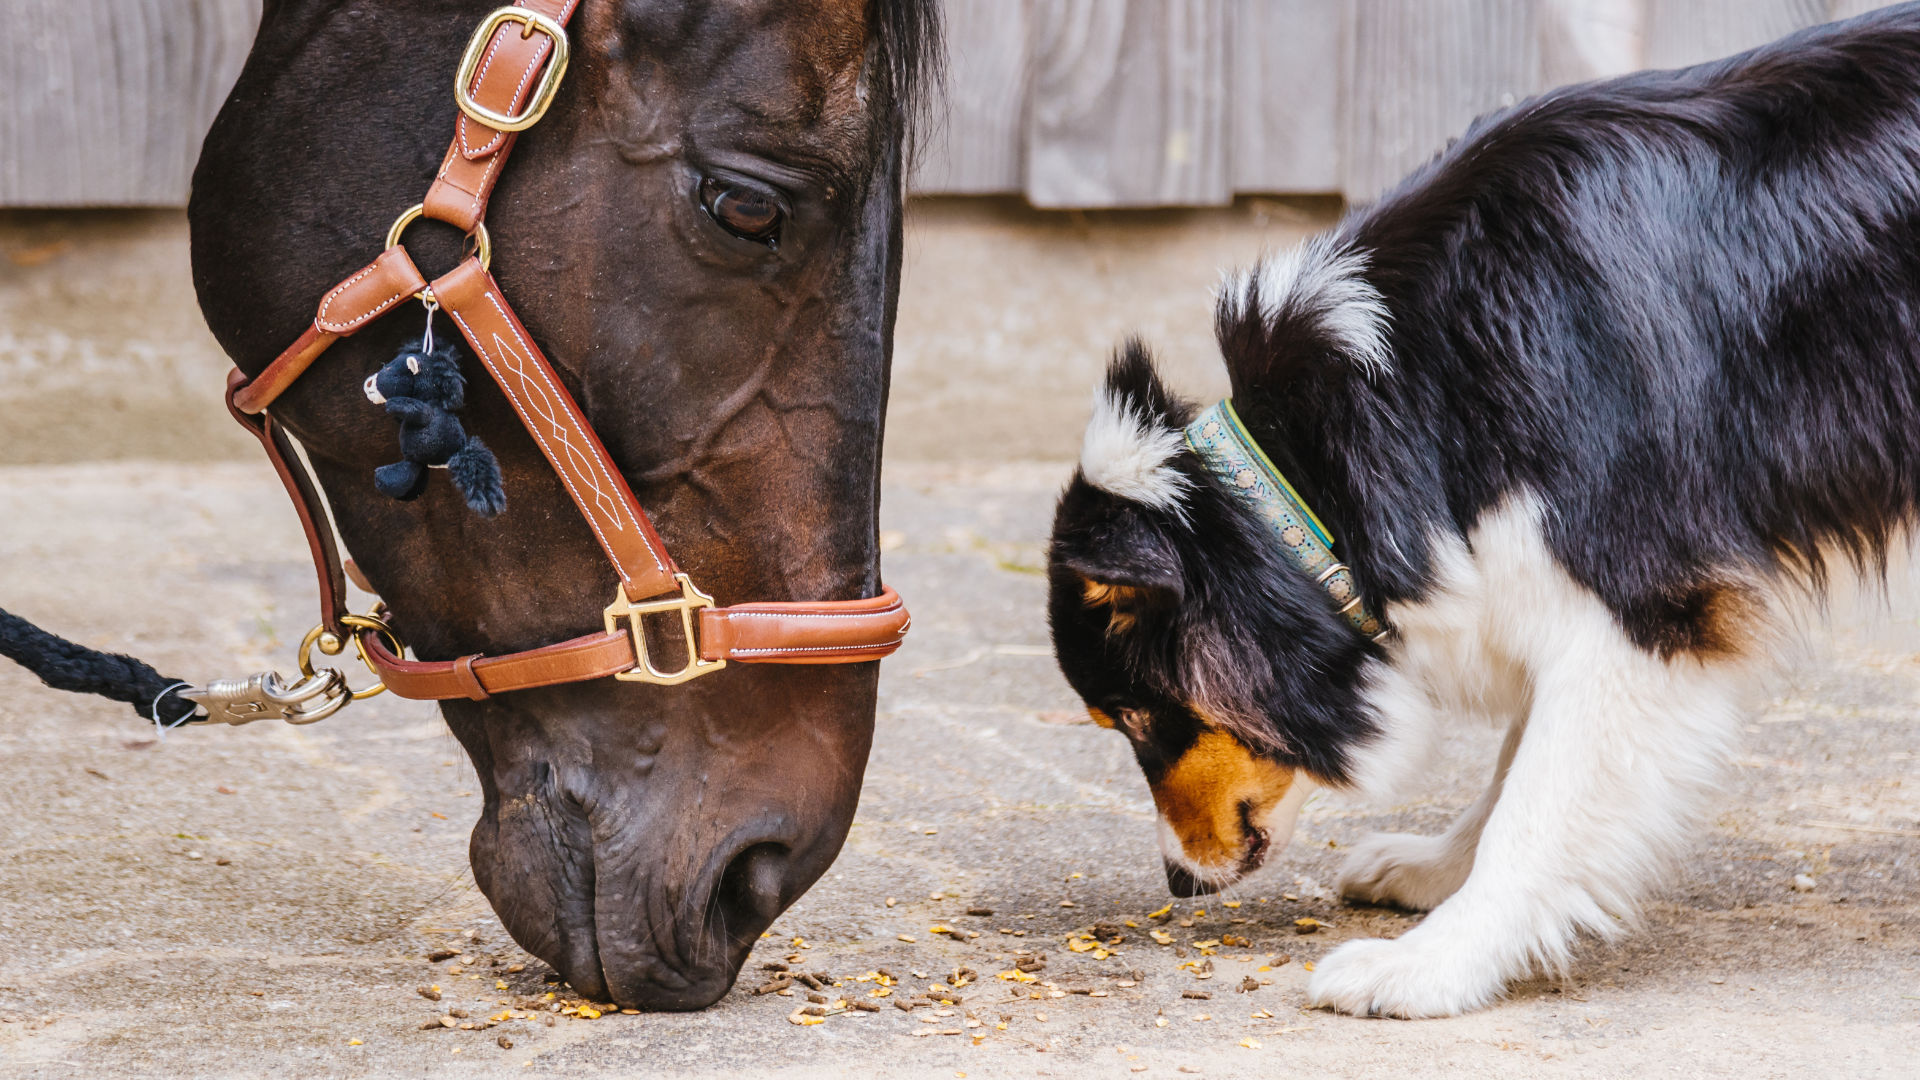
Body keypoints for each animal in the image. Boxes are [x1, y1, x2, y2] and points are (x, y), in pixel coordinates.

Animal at [1044, 4, 1920, 1014]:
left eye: (1136, 716)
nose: (1178, 881)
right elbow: (1514, 761)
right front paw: (1433, 870)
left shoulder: (1639, 601)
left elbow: (1538, 797)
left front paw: (1430, 963)